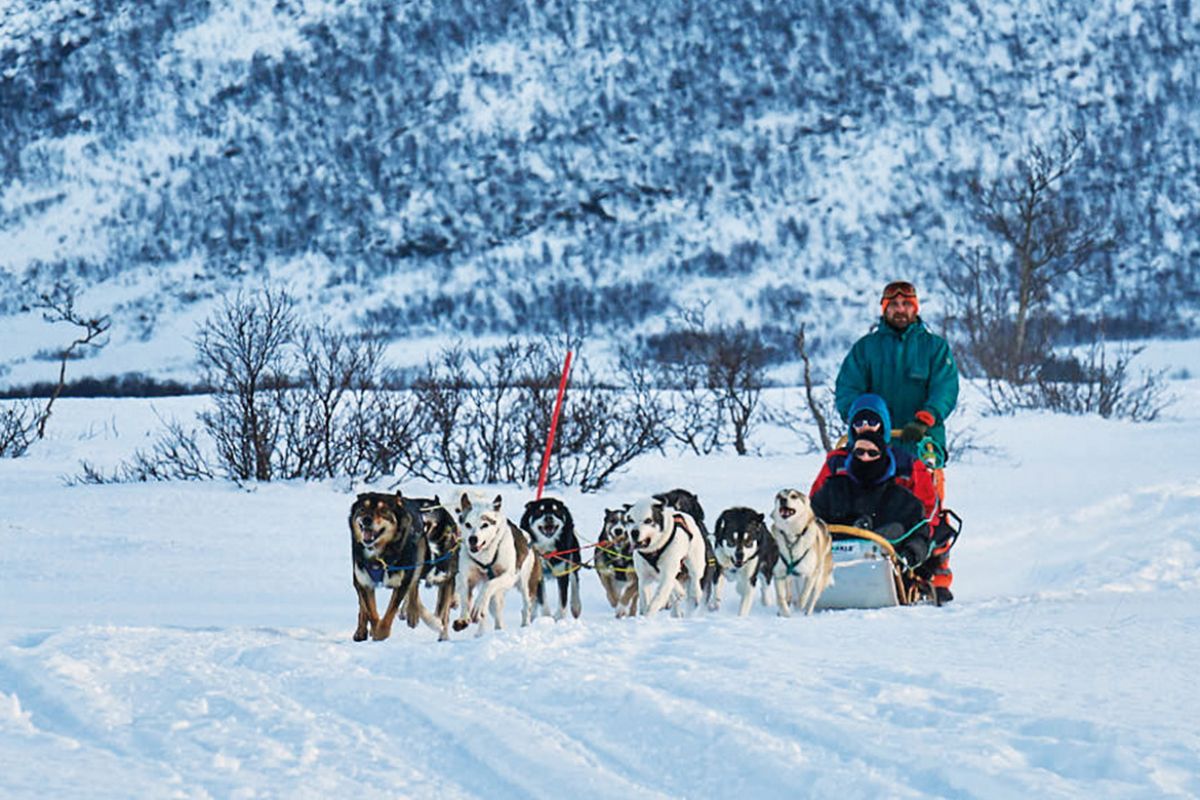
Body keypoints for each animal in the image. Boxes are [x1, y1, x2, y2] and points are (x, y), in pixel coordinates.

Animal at [350, 491, 429, 642]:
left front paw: (381, 634)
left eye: (383, 510)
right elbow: (370, 611)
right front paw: (374, 630)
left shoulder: (402, 581)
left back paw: (413, 613)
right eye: (362, 509)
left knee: (414, 585)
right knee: (362, 605)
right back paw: (360, 631)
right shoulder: (364, 581)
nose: (366, 520)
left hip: (420, 553)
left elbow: (390, 612)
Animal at [768, 484, 835, 618]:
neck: (791, 537)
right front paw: (785, 613)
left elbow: (805, 594)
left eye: (793, 496)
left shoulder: (811, 574)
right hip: (791, 579)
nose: (783, 500)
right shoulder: (779, 574)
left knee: (813, 597)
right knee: (789, 593)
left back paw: (807, 612)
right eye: (779, 496)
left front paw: (800, 605)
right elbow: (781, 597)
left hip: (819, 579)